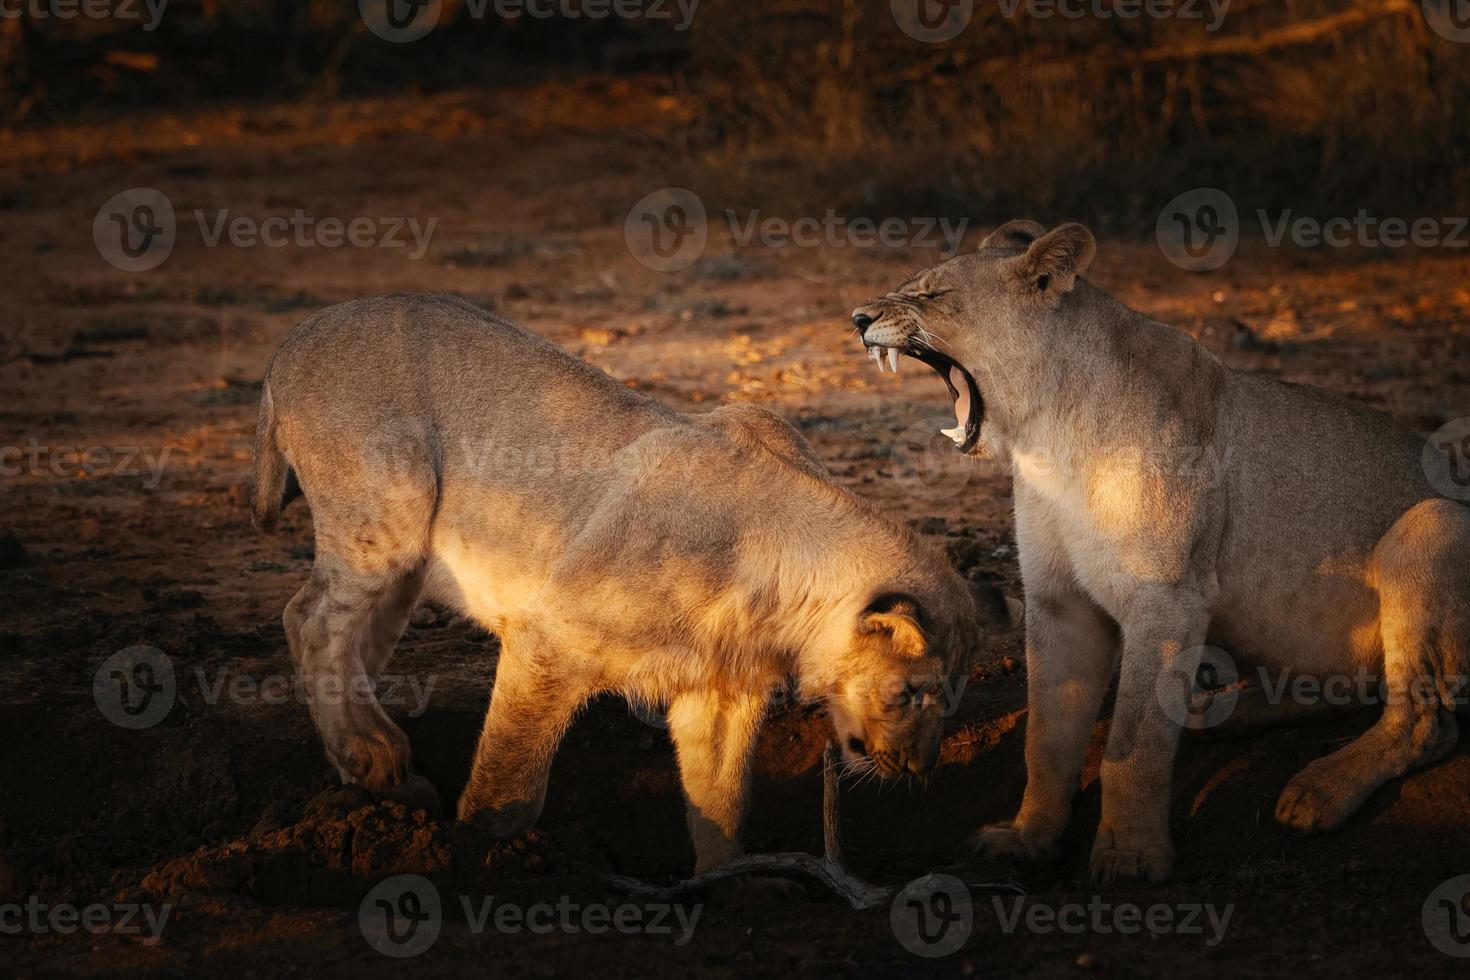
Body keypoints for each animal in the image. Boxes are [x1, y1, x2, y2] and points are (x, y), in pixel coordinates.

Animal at [852, 221, 1470, 887]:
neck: (1047, 436)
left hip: (1434, 522)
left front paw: (1130, 853)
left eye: (934, 293)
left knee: (1427, 722)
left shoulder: (1167, 597)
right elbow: (1046, 738)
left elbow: (1133, 743)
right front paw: (1027, 838)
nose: (859, 317)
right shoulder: (1058, 601)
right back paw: (1225, 713)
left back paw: (1318, 790)